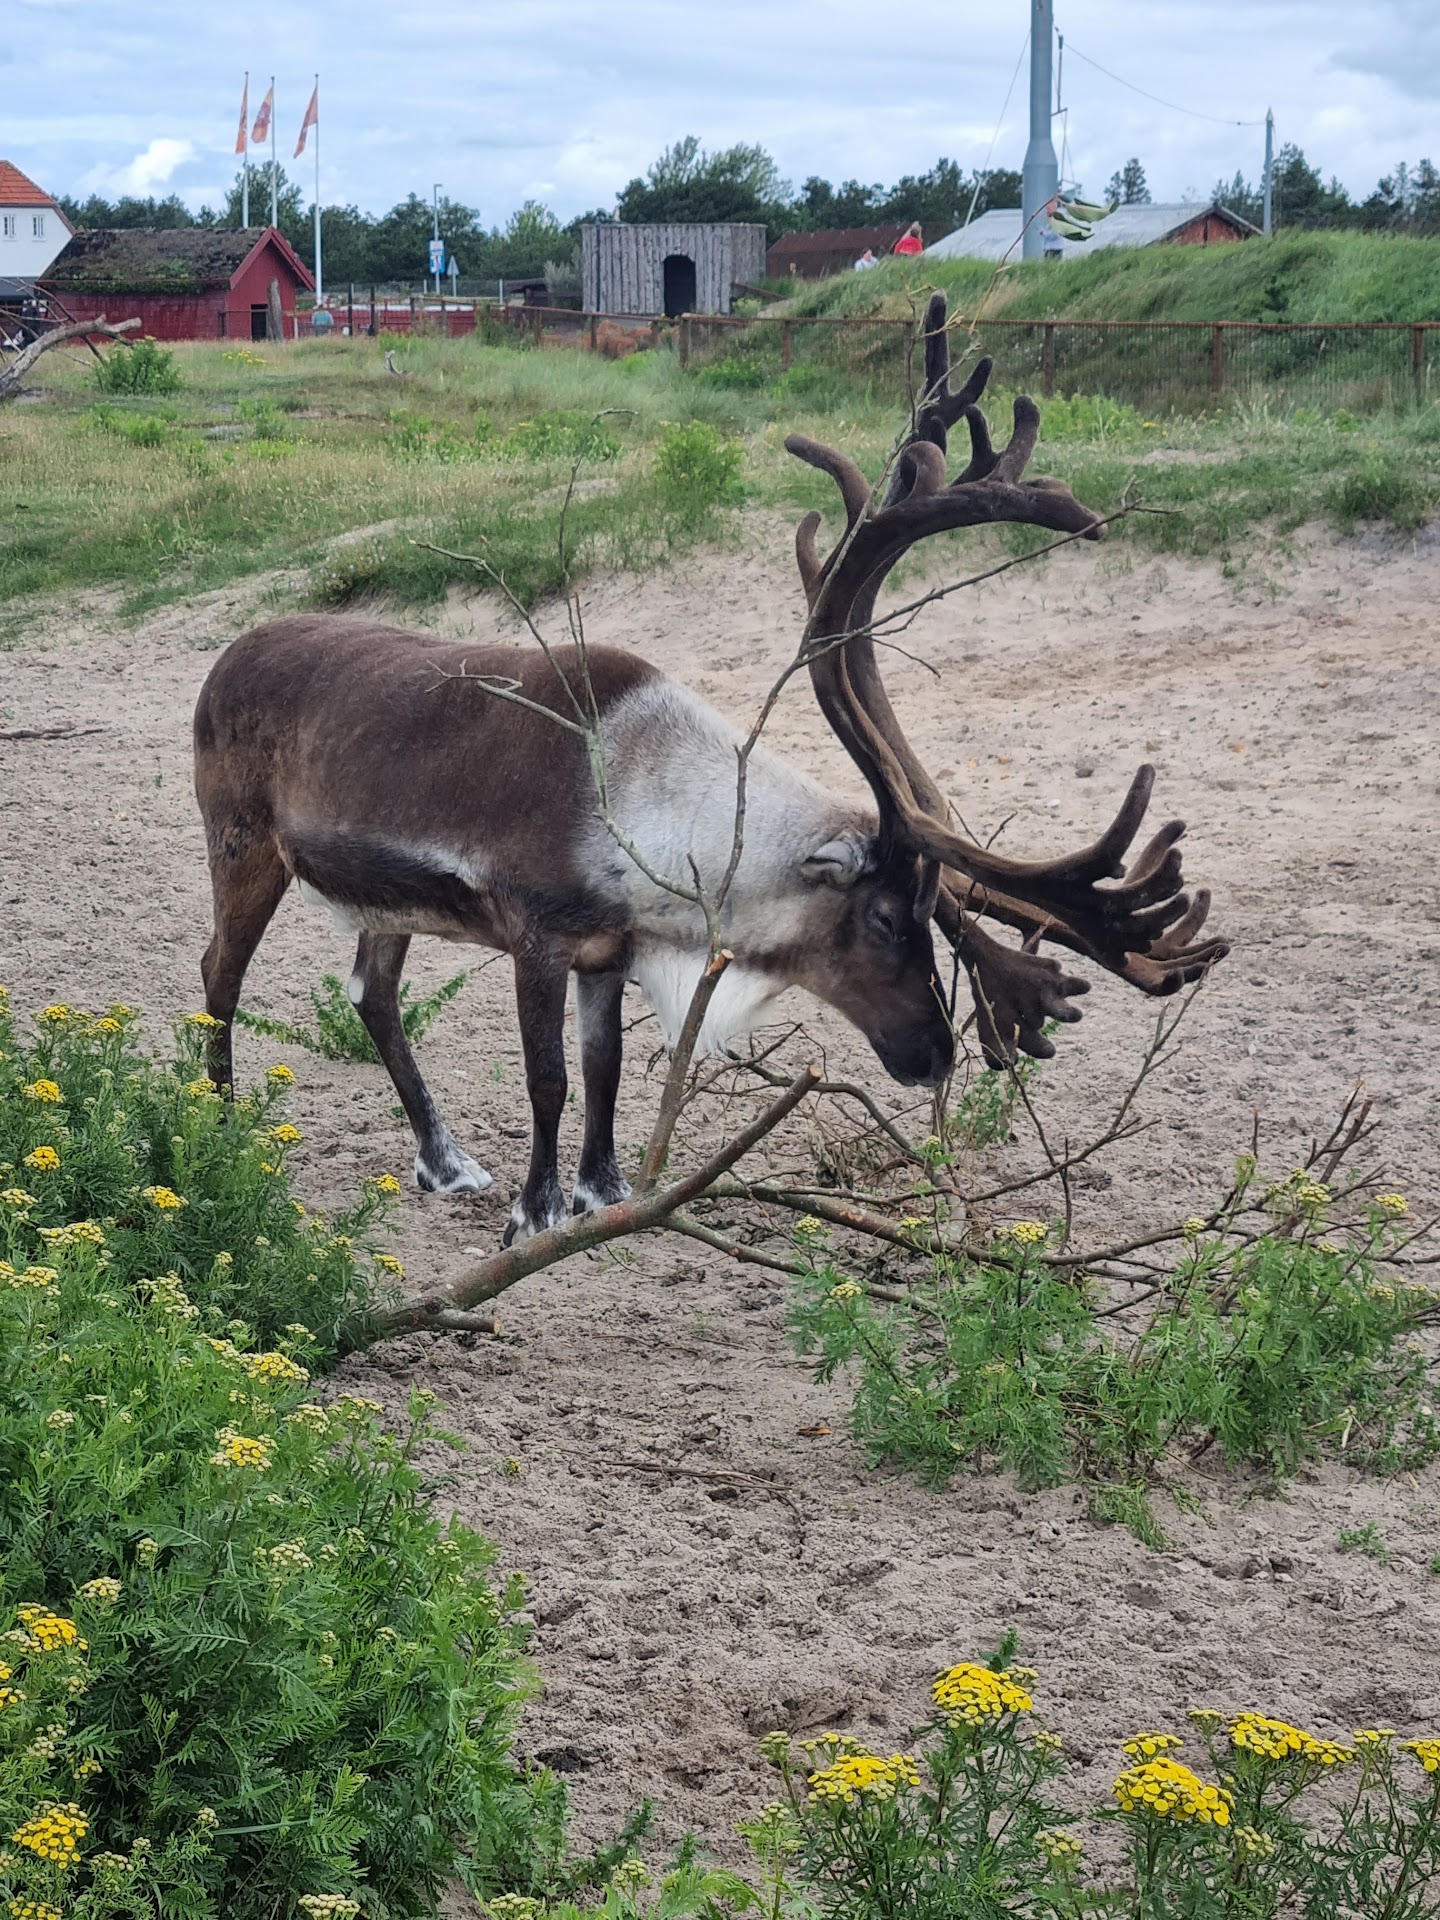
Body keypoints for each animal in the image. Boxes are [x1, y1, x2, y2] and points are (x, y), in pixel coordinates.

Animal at [193, 292, 1226, 1246]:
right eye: (886, 918)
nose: (934, 1053)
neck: (652, 813)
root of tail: (223, 657)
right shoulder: (537, 932)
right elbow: (550, 1076)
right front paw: (537, 1213)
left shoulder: (609, 950)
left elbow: (604, 1069)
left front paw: (604, 1192)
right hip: (242, 844)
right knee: (219, 972)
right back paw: (219, 1123)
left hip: (384, 900)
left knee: (373, 994)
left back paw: (444, 1162)